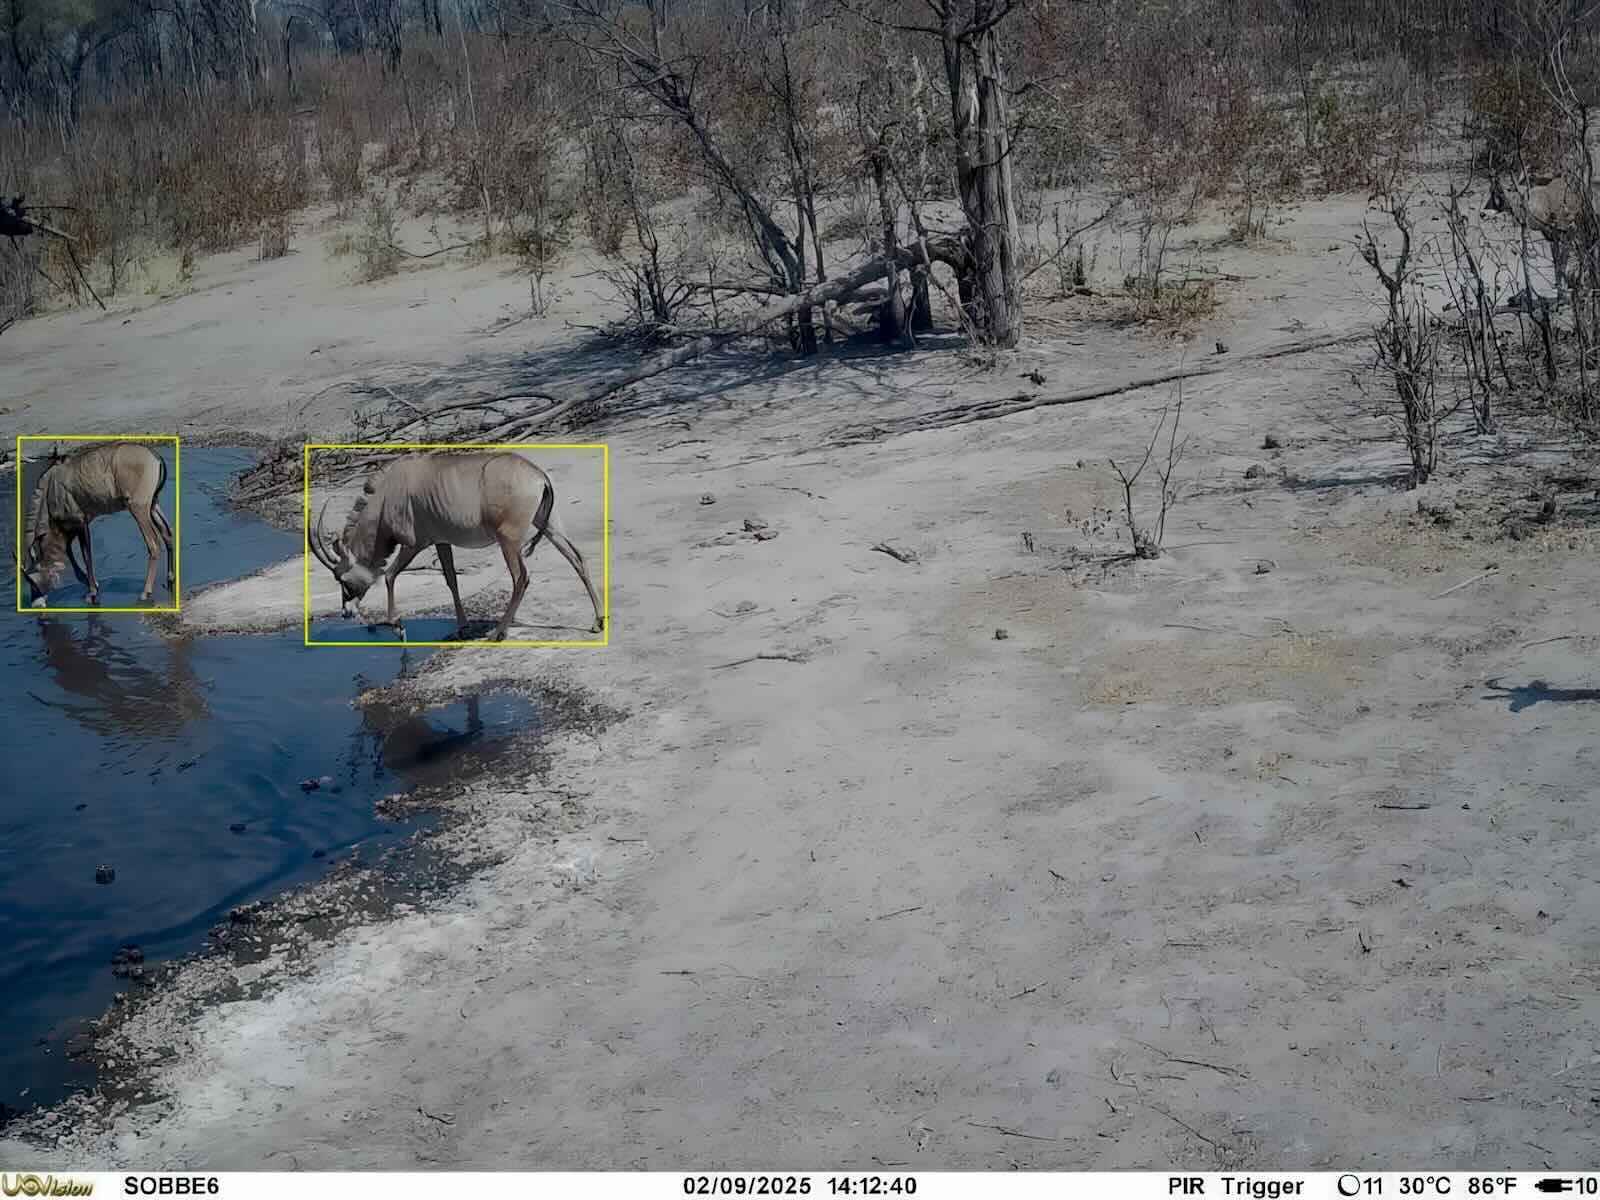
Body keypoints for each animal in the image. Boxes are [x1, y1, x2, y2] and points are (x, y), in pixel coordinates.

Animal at [18, 441, 176, 607]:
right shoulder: (70, 530)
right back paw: (170, 577)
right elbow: (70, 553)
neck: (50, 489)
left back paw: (145, 592)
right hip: (153, 504)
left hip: (138, 507)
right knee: (167, 532)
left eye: (32, 581)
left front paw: (92, 593)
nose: (36, 603)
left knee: (153, 544)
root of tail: (155, 456)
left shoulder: (81, 522)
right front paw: (92, 585)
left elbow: (86, 556)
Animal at [307, 451, 603, 642]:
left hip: (508, 539)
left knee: (522, 577)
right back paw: (598, 622)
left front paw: (398, 626)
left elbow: (390, 575)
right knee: (577, 558)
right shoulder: (441, 540)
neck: (386, 496)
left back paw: (498, 632)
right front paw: (462, 626)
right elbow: (451, 579)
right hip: (549, 524)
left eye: (342, 578)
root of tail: (539, 475)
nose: (346, 612)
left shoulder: (414, 544)